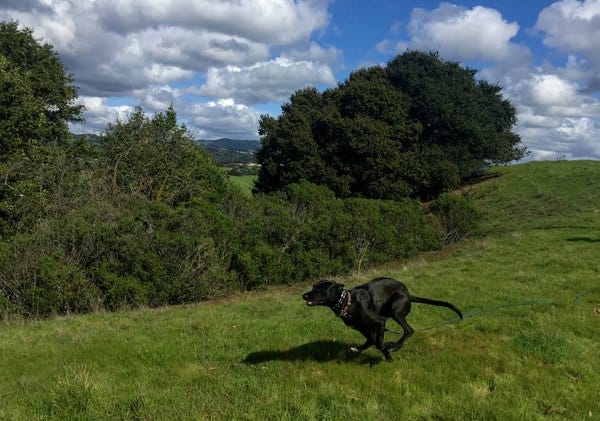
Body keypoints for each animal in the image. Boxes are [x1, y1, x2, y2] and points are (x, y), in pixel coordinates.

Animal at [300, 278, 464, 360]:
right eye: (313, 287)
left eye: (319, 289)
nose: (304, 295)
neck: (347, 302)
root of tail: (408, 294)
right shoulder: (364, 329)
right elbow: (372, 341)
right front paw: (358, 349)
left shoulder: (380, 322)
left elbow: (378, 344)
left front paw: (388, 353)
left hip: (395, 310)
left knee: (409, 330)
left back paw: (396, 345)